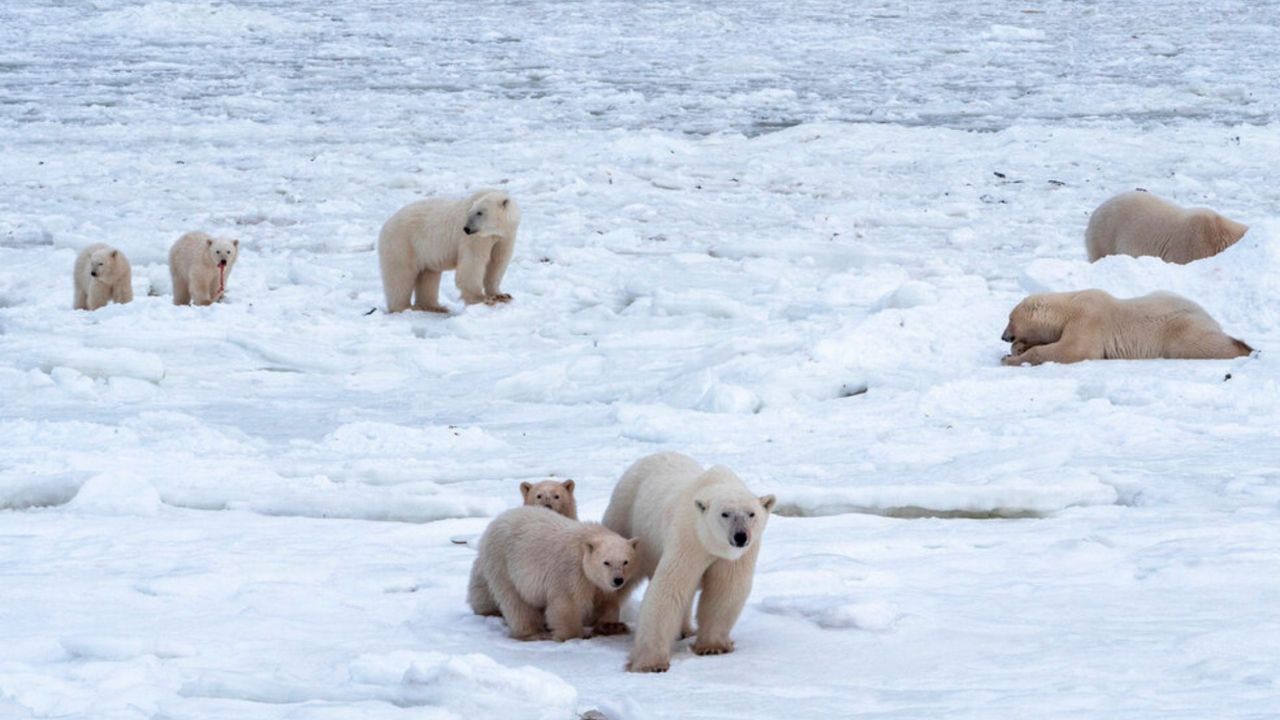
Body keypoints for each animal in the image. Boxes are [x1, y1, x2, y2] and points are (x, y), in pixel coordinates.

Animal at [373, 189, 519, 312]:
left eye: (480, 212)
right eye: (471, 212)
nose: (466, 229)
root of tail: (386, 224)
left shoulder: (505, 236)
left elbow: (497, 262)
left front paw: (501, 295)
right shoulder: (475, 239)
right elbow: (473, 262)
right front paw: (482, 298)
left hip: (424, 252)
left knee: (428, 275)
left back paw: (435, 307)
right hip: (402, 243)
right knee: (400, 275)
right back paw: (403, 307)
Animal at [468, 504, 637, 638]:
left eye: (625, 562)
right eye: (606, 562)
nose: (618, 580)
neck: (588, 538)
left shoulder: (599, 585)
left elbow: (606, 603)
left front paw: (611, 626)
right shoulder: (571, 571)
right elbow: (567, 604)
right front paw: (574, 635)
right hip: (503, 562)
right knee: (515, 601)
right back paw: (534, 632)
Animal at [596, 450, 768, 671]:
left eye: (751, 513)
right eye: (725, 514)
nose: (740, 536)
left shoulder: (736, 556)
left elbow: (725, 590)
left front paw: (713, 647)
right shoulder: (688, 538)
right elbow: (671, 586)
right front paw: (651, 664)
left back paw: (685, 630)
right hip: (626, 517)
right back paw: (607, 623)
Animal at [998, 286, 1249, 363]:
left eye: (1010, 318)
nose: (1004, 336)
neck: (1069, 308)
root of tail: (1208, 316)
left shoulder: (1088, 319)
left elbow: (1075, 349)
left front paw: (1010, 358)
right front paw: (1017, 349)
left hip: (1179, 330)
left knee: (1203, 345)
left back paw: (1244, 348)